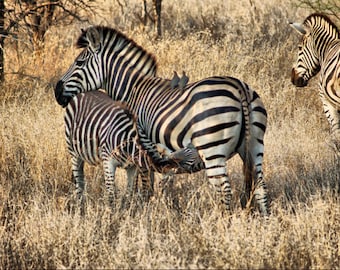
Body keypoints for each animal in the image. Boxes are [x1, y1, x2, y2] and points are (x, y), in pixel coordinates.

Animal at [65, 90, 197, 209]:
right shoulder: (108, 162)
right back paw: (80, 206)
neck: (130, 145)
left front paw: (128, 212)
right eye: (194, 160)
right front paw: (111, 216)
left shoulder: (132, 167)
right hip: (73, 152)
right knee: (79, 179)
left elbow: (129, 193)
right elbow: (111, 195)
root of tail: (84, 93)